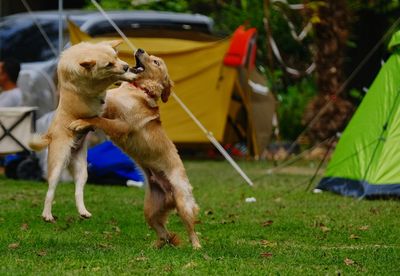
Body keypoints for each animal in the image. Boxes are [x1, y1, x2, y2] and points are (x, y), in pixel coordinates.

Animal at [28, 40, 138, 222]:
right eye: (108, 64)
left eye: (116, 56)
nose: (127, 66)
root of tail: (50, 135)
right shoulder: (93, 84)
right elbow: (111, 78)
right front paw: (127, 76)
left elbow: (118, 77)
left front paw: (131, 75)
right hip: (57, 165)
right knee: (50, 191)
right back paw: (47, 214)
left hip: (82, 170)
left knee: (78, 191)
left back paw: (83, 211)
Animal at [69, 48, 202, 249]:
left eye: (156, 62)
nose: (140, 49)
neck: (139, 89)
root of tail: (169, 196)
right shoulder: (110, 103)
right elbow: (100, 108)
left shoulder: (122, 125)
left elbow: (99, 120)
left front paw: (80, 123)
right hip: (150, 209)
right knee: (164, 233)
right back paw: (155, 247)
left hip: (183, 202)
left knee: (191, 228)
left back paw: (196, 247)